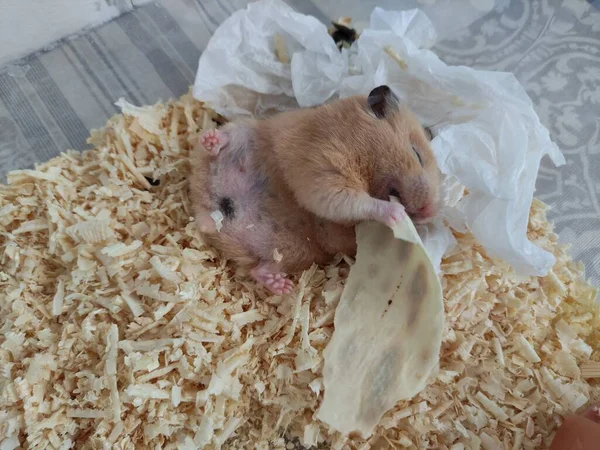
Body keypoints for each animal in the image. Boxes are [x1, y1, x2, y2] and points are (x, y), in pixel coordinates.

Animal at [190, 85, 442, 296]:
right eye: (416, 154)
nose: (430, 212)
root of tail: (208, 212)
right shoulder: (324, 172)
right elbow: (357, 202)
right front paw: (397, 213)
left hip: (291, 252)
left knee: (259, 269)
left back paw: (281, 286)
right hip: (244, 130)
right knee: (220, 143)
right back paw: (212, 140)